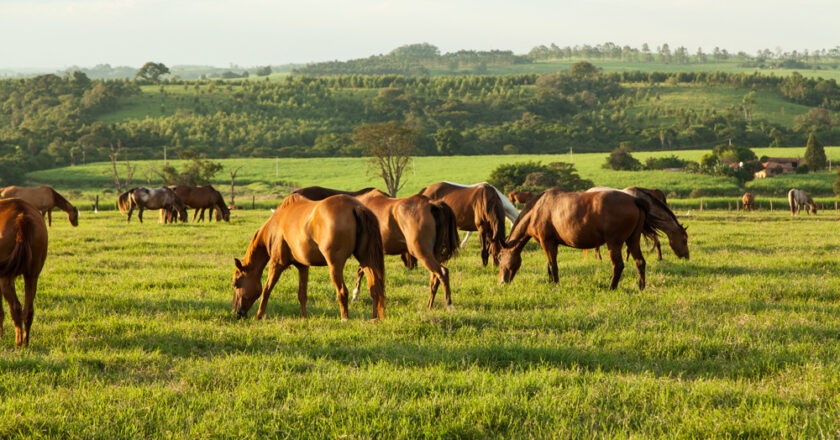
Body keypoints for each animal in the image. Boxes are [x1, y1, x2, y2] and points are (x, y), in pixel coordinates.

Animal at [0, 198, 48, 346]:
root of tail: (21, 217)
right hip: (32, 276)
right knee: (28, 310)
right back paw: (26, 342)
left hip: (6, 278)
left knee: (16, 307)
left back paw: (19, 342)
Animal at [231, 195, 386, 320]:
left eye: (236, 283)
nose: (237, 312)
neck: (275, 226)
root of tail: (356, 207)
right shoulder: (303, 267)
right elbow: (302, 295)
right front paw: (304, 318)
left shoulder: (277, 264)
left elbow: (266, 290)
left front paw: (258, 316)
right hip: (366, 261)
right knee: (375, 289)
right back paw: (375, 318)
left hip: (335, 265)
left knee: (343, 291)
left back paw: (345, 318)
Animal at [496, 188, 668, 288]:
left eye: (499, 257)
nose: (502, 281)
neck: (538, 208)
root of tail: (634, 200)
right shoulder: (552, 244)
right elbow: (550, 265)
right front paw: (551, 282)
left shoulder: (547, 242)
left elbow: (552, 265)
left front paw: (555, 285)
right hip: (632, 240)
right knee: (640, 262)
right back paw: (641, 287)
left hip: (614, 243)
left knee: (618, 265)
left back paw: (611, 287)